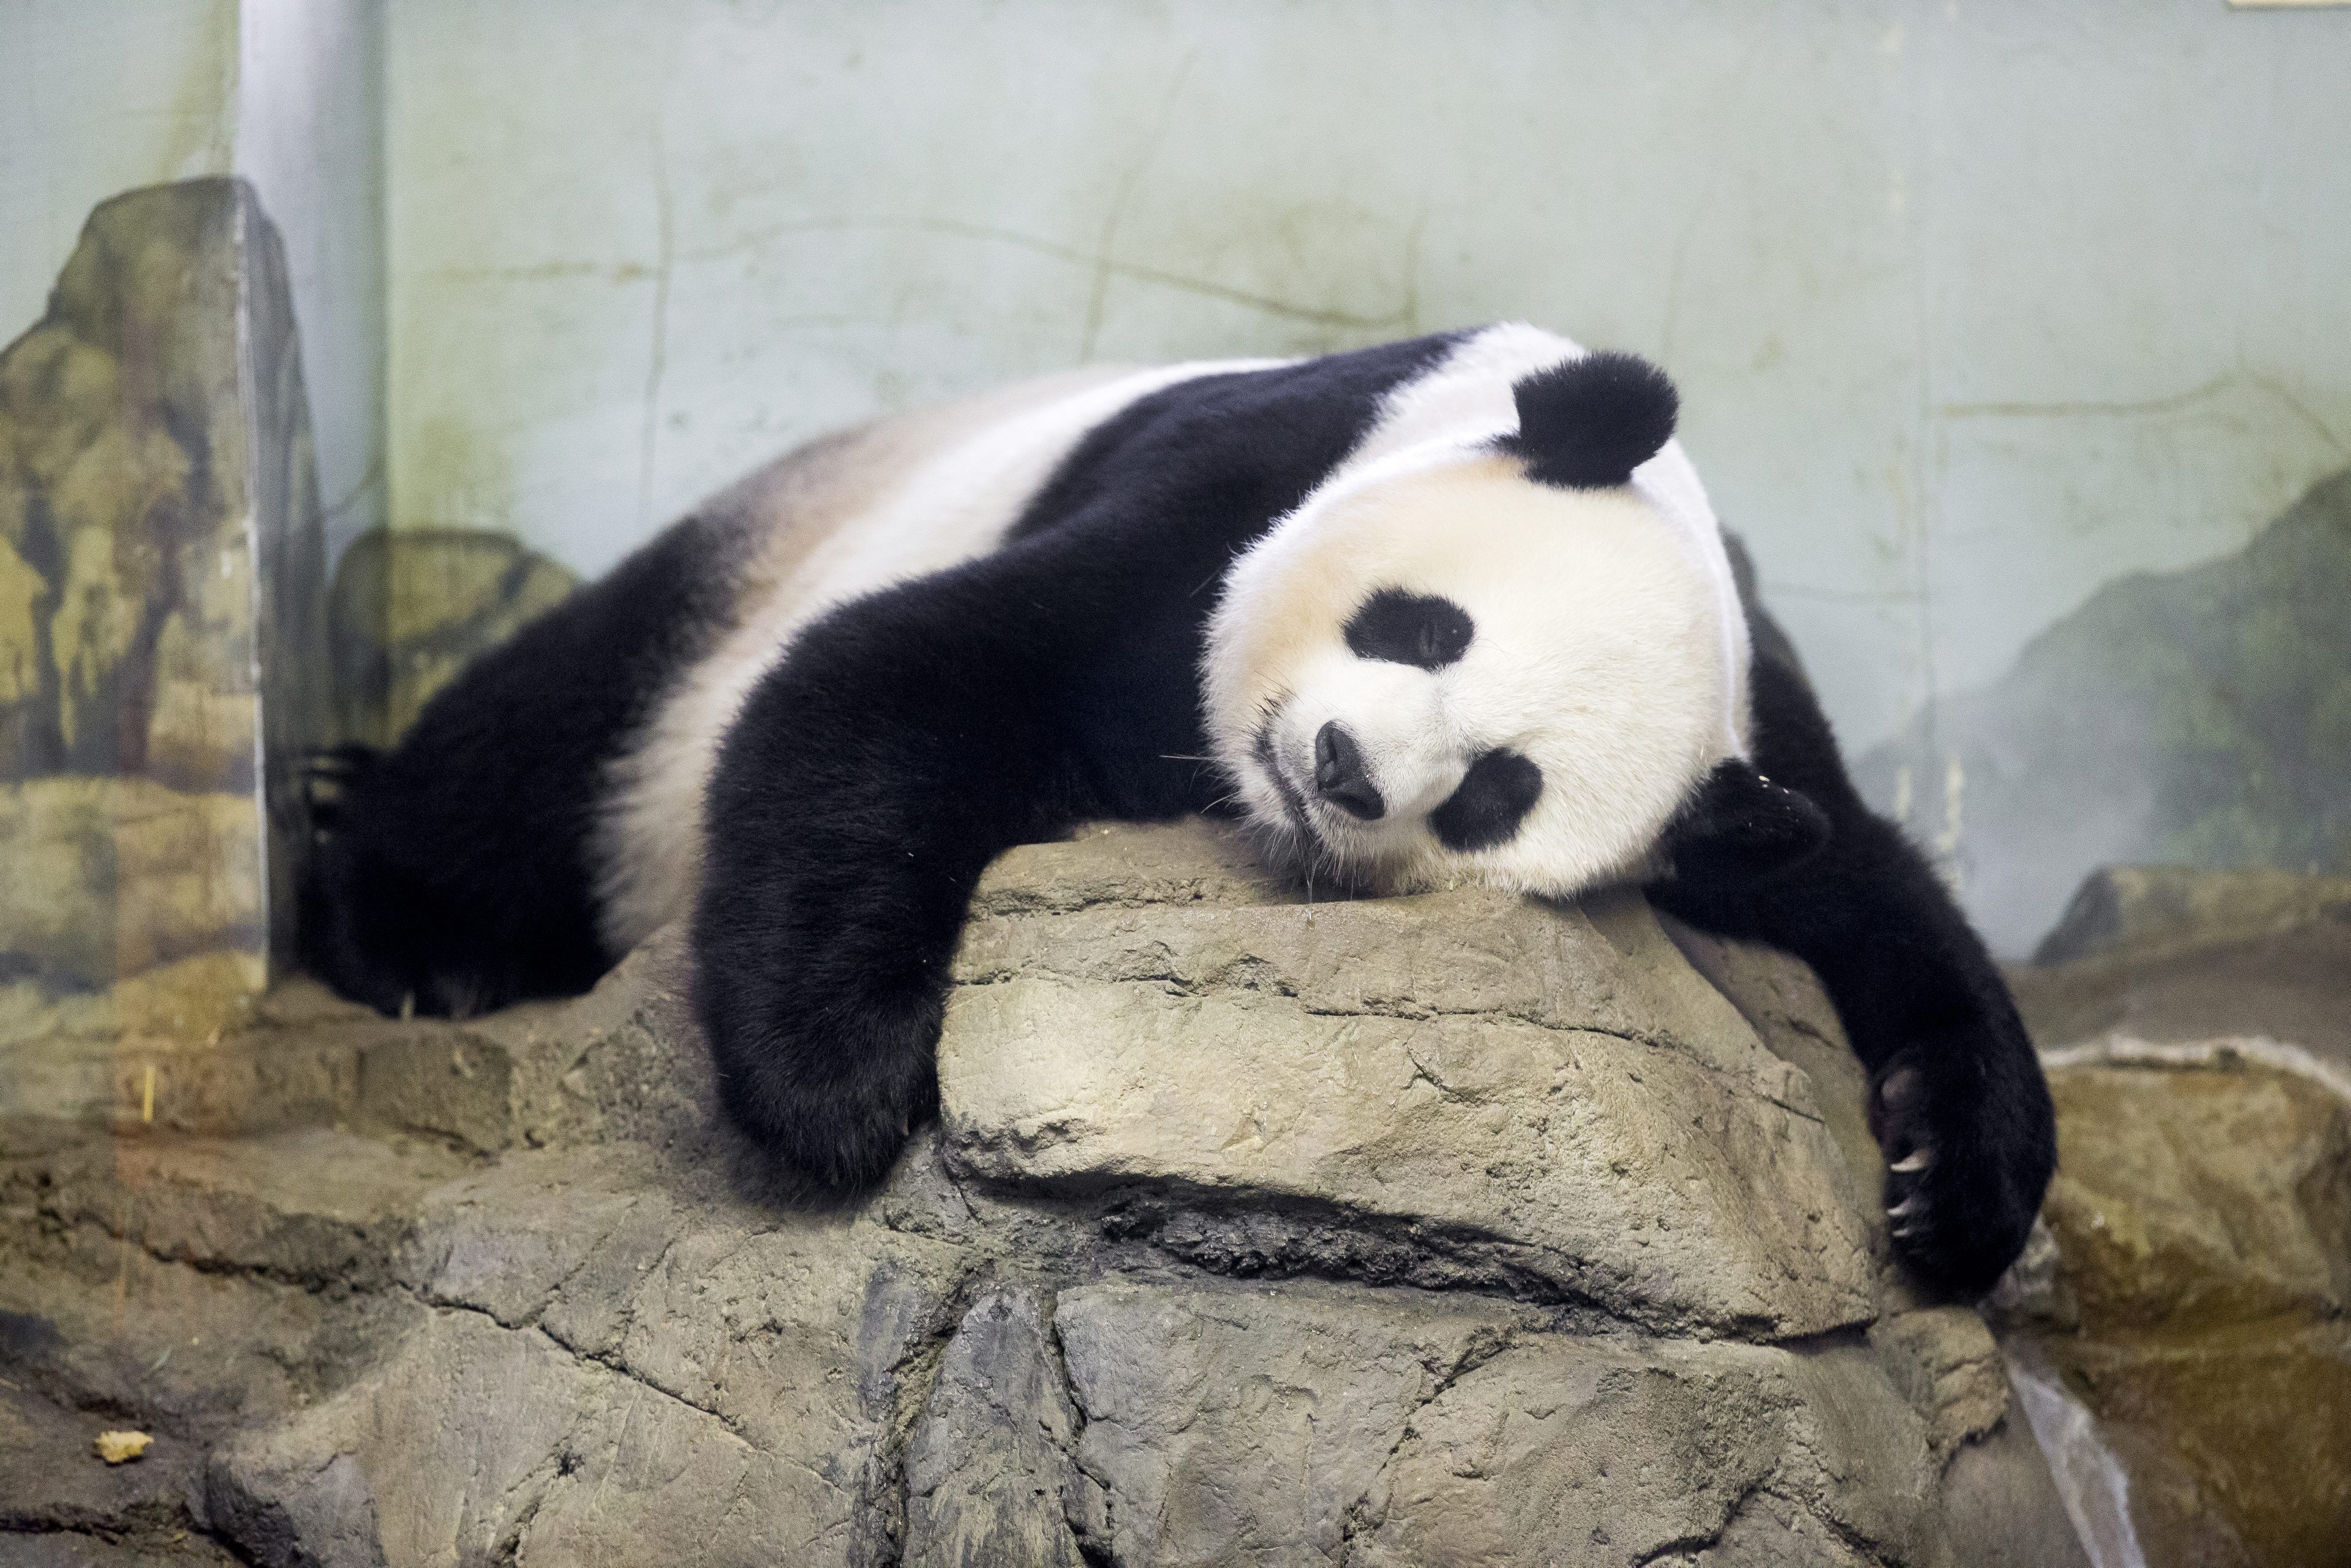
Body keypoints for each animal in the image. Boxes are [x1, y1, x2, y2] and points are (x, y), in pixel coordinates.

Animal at [305, 324, 2056, 1296]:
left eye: (1498, 793)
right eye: (1427, 627)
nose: (1343, 766)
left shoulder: (1754, 737)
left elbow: (1873, 889)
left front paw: (1950, 1188)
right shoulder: (1240, 480)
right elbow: (902, 673)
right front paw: (840, 1087)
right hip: (740, 577)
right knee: (556, 730)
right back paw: (409, 934)